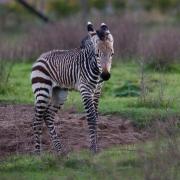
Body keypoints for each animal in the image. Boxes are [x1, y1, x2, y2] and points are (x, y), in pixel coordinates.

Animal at [30, 21, 114, 154]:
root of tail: (41, 57)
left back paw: (60, 151)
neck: (95, 70)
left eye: (112, 54)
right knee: (36, 120)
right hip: (42, 91)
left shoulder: (97, 91)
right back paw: (38, 154)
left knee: (48, 116)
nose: (105, 76)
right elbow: (91, 118)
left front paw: (96, 146)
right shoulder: (86, 90)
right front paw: (93, 149)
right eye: (97, 54)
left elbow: (96, 116)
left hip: (60, 93)